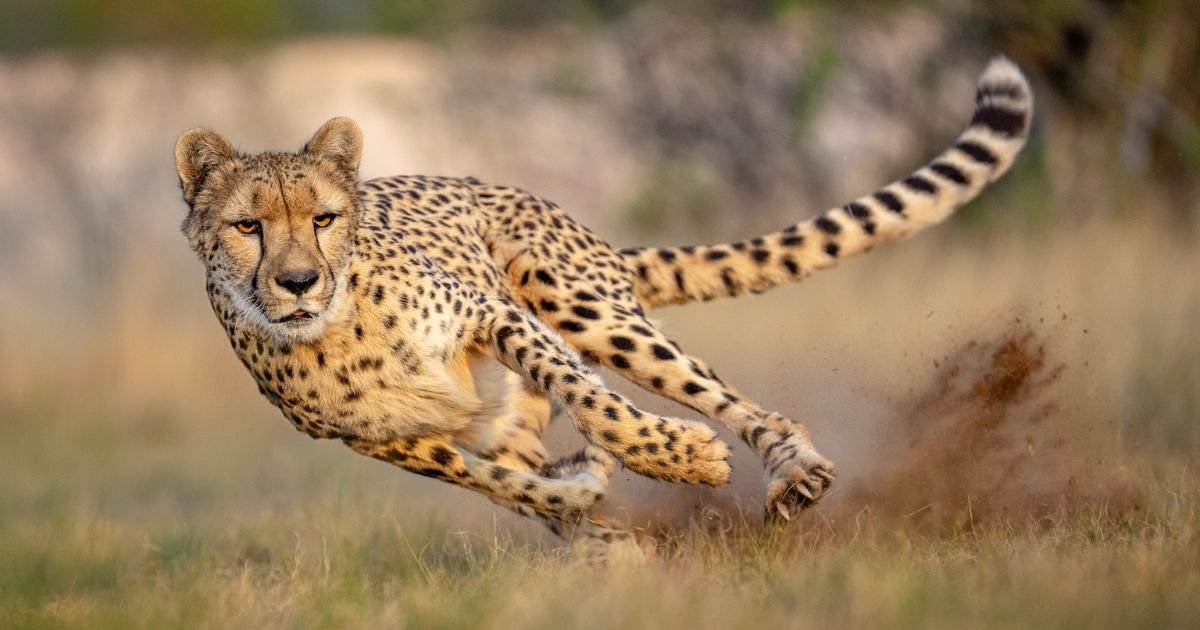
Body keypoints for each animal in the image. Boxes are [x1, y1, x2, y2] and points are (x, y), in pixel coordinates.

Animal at [174, 57, 1032, 561]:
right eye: (248, 227)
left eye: (323, 218)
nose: (297, 282)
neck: (339, 328)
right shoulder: (390, 443)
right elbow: (510, 486)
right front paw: (592, 513)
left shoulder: (498, 317)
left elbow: (598, 405)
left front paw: (678, 458)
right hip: (506, 405)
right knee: (523, 461)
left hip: (578, 299)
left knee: (730, 401)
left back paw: (791, 469)